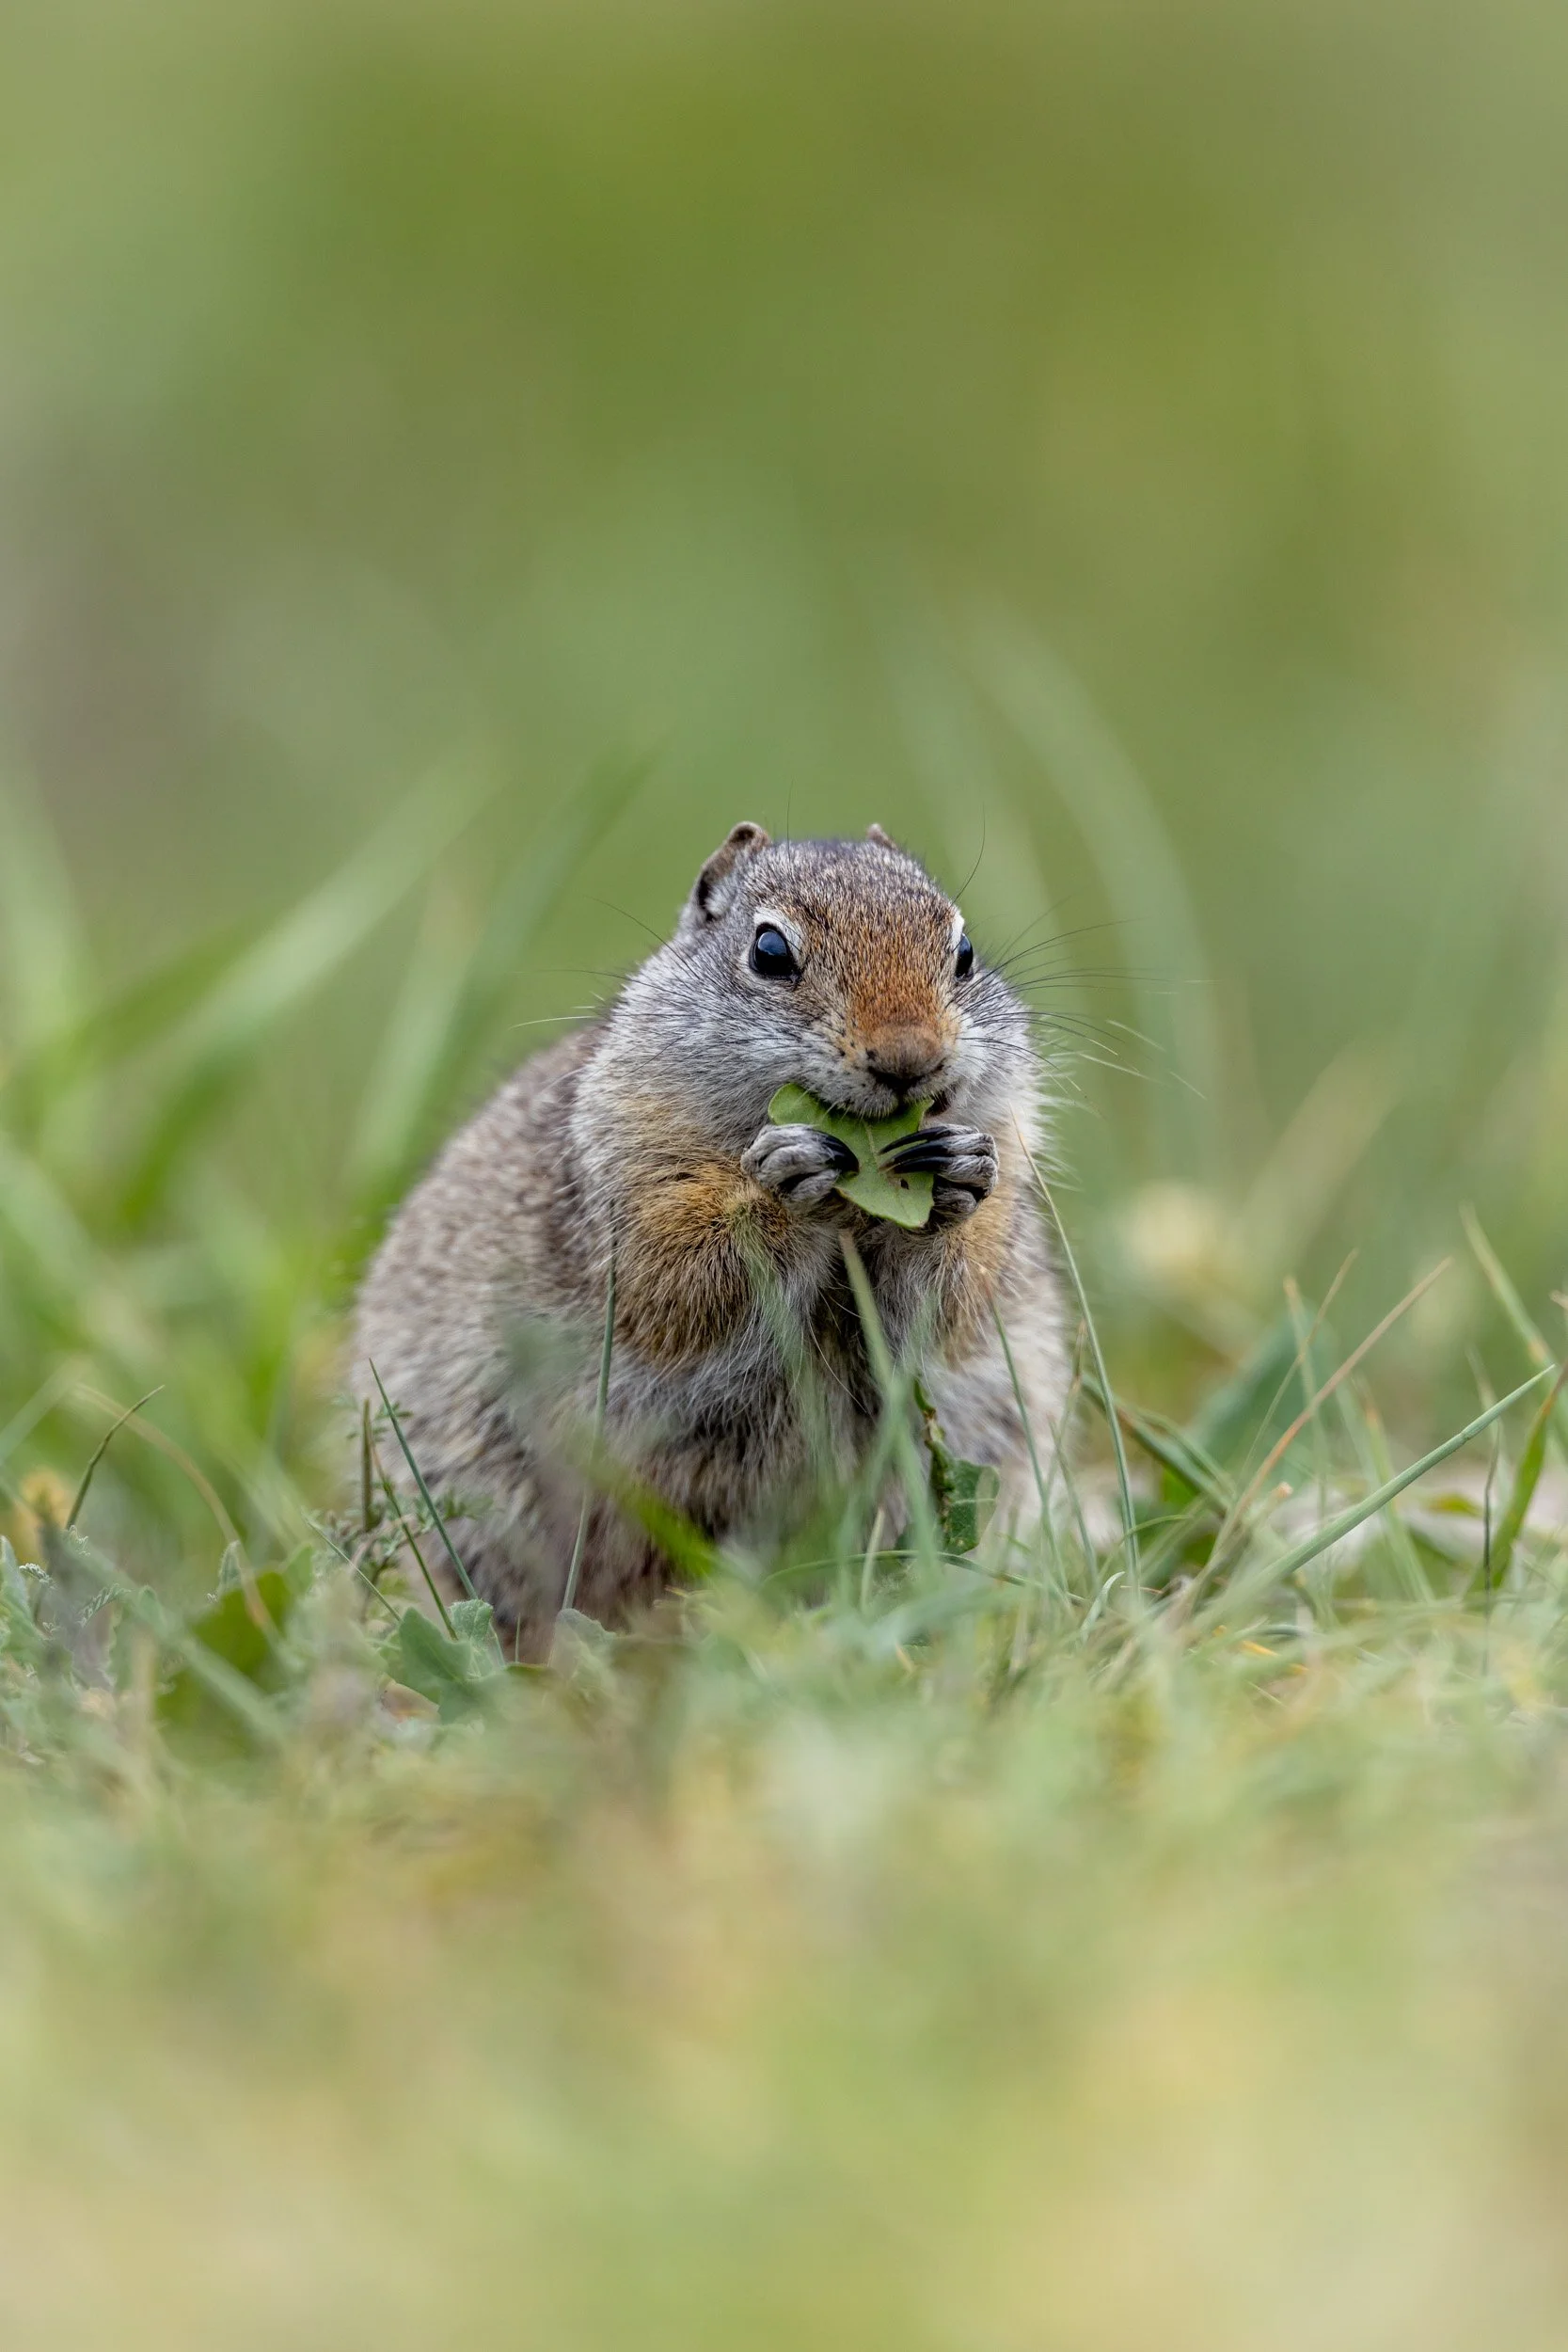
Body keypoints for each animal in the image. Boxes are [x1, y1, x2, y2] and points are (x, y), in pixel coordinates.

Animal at [353, 822, 1068, 1654]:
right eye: (769, 951)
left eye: (964, 952)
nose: (909, 1059)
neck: (854, 1211)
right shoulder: (632, 1177)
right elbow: (677, 1277)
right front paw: (783, 1180)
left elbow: (956, 1301)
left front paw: (955, 1177)